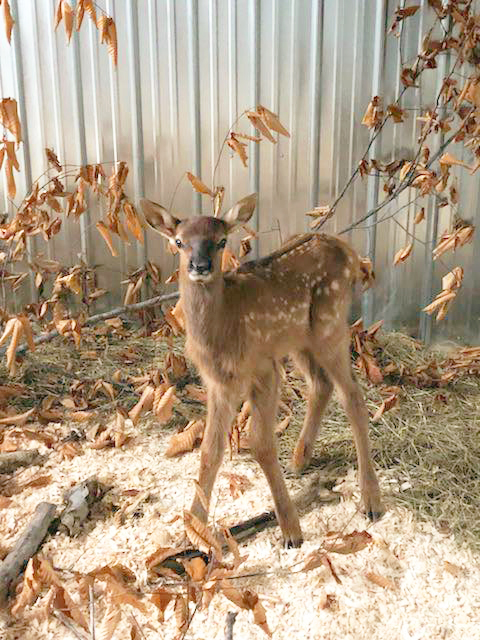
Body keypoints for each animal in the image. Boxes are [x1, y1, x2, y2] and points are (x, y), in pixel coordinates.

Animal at [141, 194, 384, 544]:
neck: (224, 328)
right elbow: (210, 449)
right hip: (298, 341)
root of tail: (349, 252)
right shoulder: (219, 382)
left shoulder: (262, 368)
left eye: (221, 241)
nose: (200, 266)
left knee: (353, 395)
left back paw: (371, 501)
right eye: (179, 242)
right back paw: (300, 459)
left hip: (330, 326)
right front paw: (195, 530)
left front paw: (291, 531)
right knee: (321, 385)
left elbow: (260, 443)